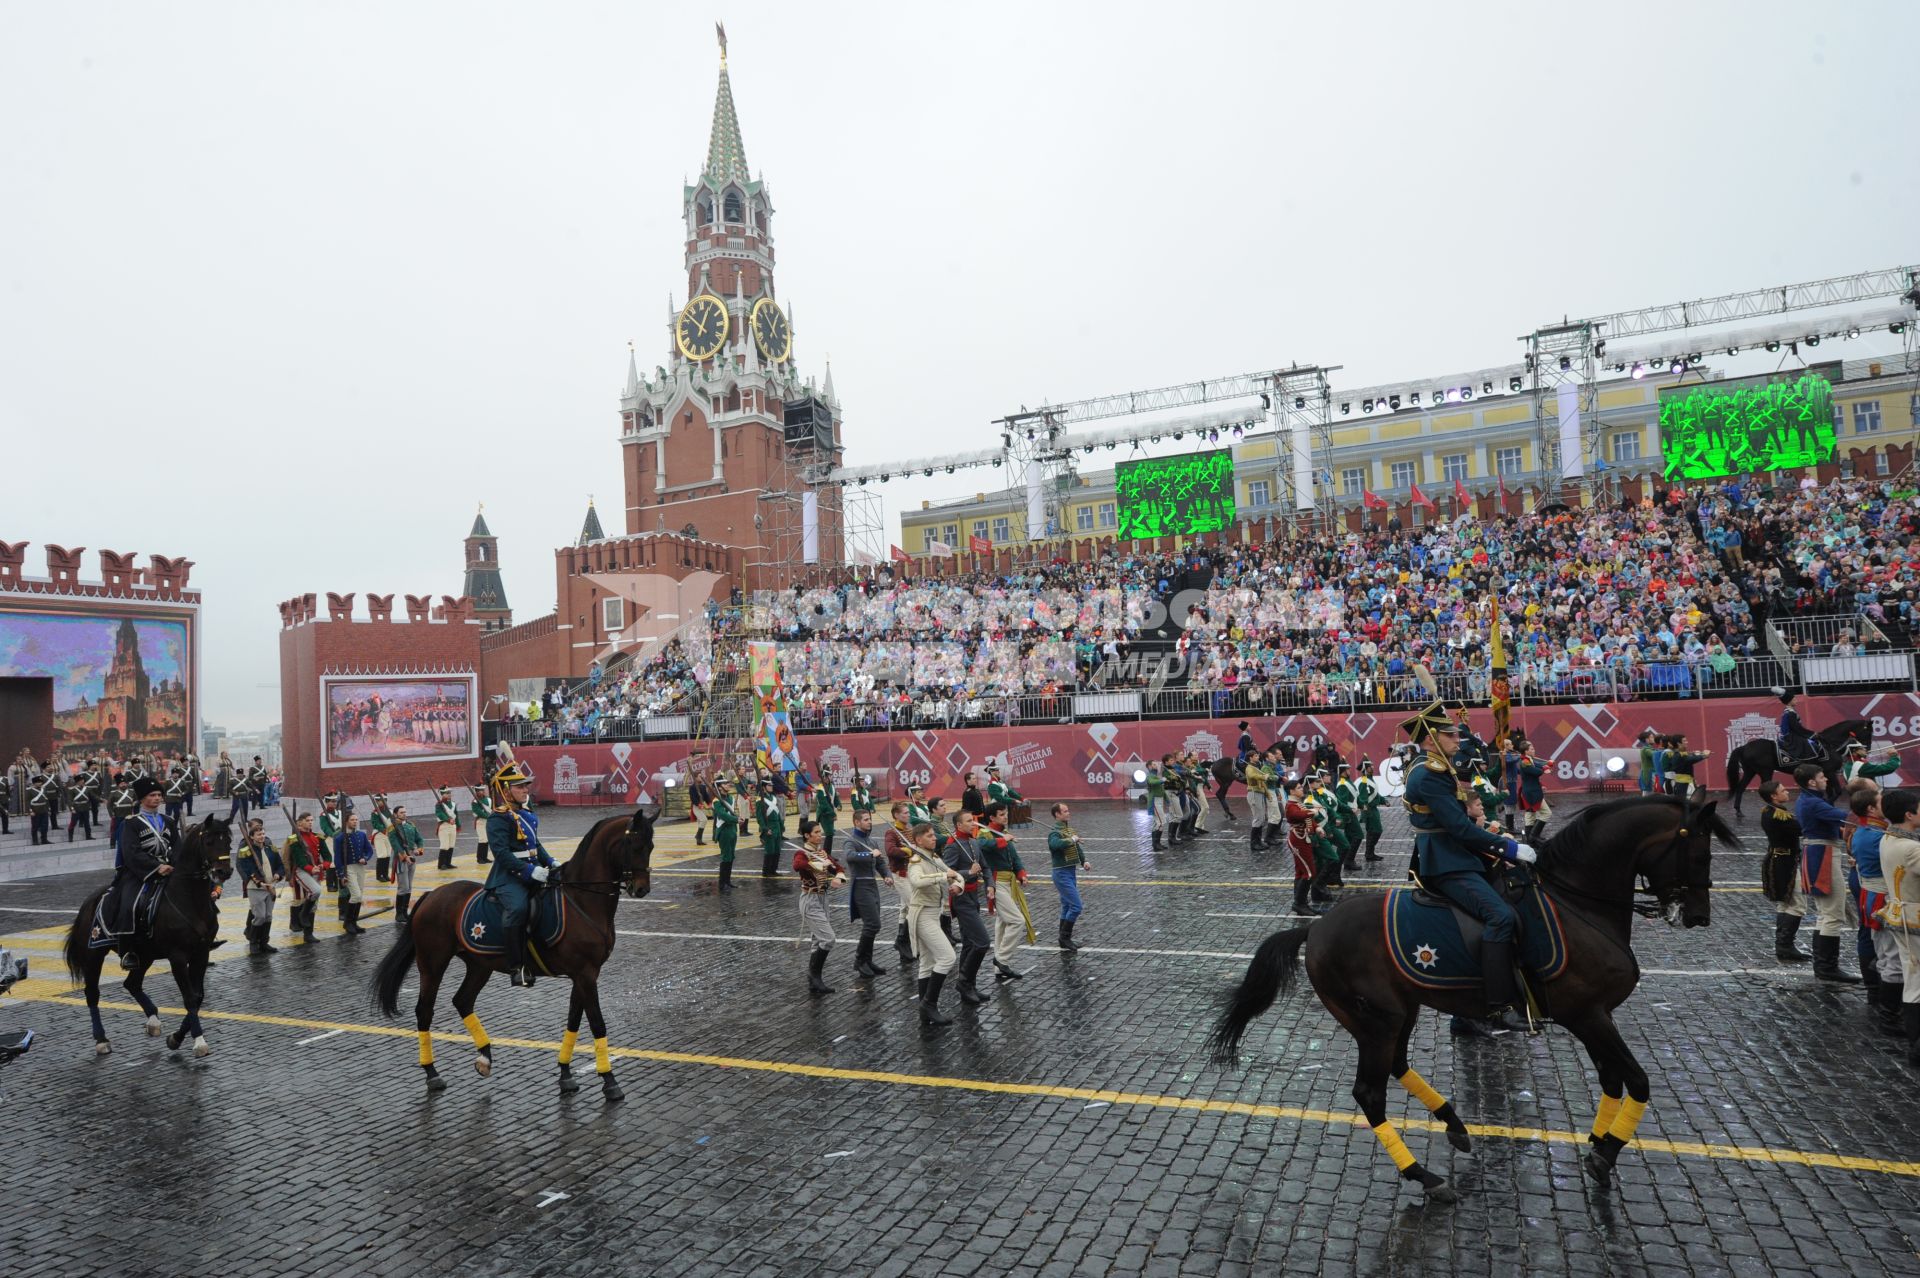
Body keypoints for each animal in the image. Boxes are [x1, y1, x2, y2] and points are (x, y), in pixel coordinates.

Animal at [64, 817, 235, 1051]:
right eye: (209, 841)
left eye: (228, 841)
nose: (224, 872)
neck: (188, 899)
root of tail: (89, 902)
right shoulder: (178, 957)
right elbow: (190, 998)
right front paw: (198, 1041)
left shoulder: (201, 953)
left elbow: (198, 997)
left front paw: (176, 1037)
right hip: (94, 955)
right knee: (92, 993)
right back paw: (101, 1039)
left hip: (145, 955)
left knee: (132, 984)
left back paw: (153, 1020)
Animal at [370, 805, 656, 1097]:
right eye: (634, 845)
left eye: (651, 846)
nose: (641, 889)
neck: (581, 900)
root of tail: (431, 895)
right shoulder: (585, 974)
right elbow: (597, 1023)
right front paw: (609, 1081)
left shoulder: (586, 974)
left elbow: (573, 1021)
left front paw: (565, 1074)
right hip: (432, 964)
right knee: (424, 1011)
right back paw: (432, 1073)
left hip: (479, 966)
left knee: (462, 1001)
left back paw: (484, 1057)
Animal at [1205, 790, 1735, 1197]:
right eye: (1702, 853)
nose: (1700, 916)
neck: (1578, 904)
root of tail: (1314, 930)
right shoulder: (1590, 1014)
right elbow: (1638, 1081)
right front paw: (1606, 1154)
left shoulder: (1592, 1016)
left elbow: (1612, 1080)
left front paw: (1599, 1143)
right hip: (1378, 1019)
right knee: (1370, 1093)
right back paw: (1424, 1175)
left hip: (1397, 1012)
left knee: (1398, 1065)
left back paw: (1455, 1125)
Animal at [1720, 710, 1866, 809]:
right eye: (1867, 731)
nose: (1865, 750)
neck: (1829, 746)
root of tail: (1745, 746)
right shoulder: (1830, 772)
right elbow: (1837, 792)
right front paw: (1828, 803)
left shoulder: (1826, 774)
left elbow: (1830, 792)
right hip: (1765, 771)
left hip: (1750, 771)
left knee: (1740, 788)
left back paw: (1739, 811)